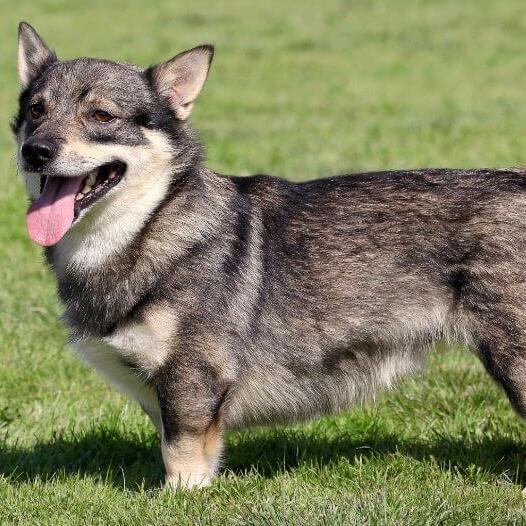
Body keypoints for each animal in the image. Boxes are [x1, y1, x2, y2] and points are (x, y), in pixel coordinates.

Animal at [13, 20, 526, 490]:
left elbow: (181, 457)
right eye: (36, 110)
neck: (150, 224)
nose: (35, 151)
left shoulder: (192, 378)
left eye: (102, 115)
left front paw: (181, 501)